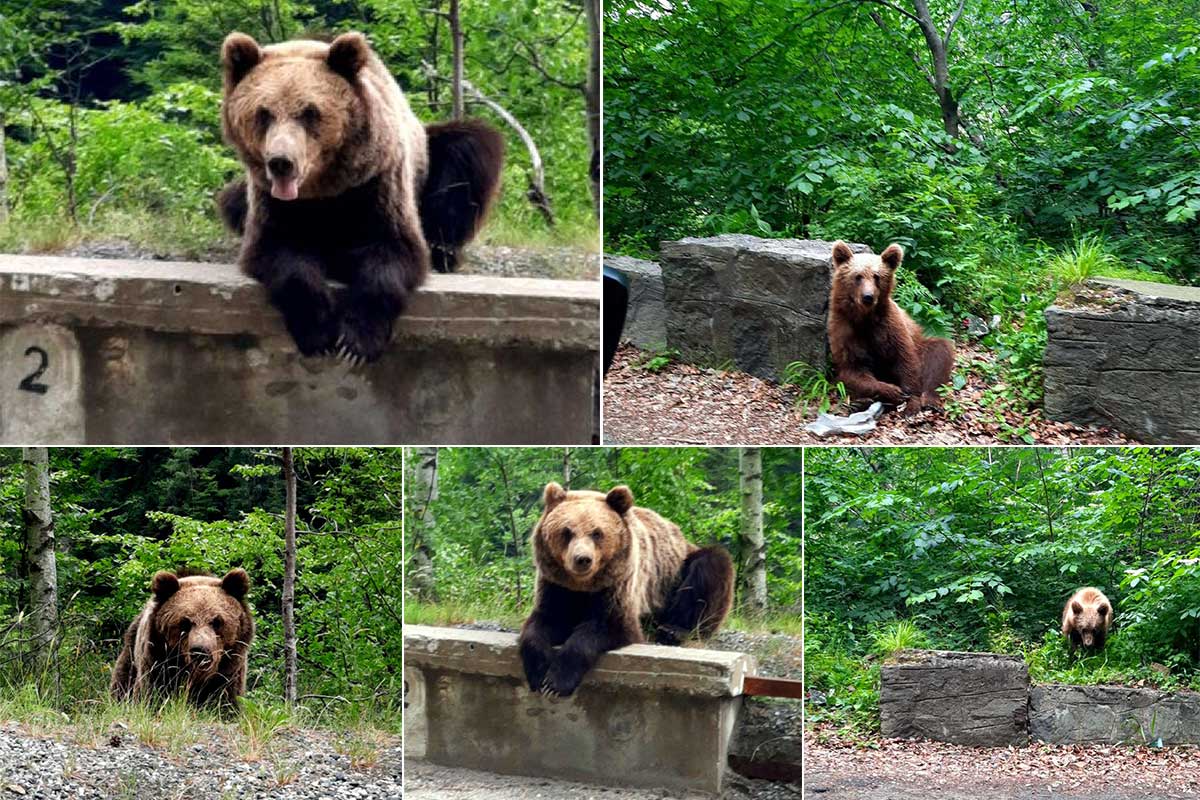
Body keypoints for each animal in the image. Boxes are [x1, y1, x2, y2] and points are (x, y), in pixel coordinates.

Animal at [111, 568, 254, 705]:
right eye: (185, 622)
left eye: (216, 621)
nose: (200, 651)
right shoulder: (157, 663)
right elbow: (152, 696)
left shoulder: (229, 674)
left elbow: (227, 701)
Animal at [218, 31, 504, 362]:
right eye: (263, 113)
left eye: (310, 112)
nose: (281, 162)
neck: (325, 190)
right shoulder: (272, 202)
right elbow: (278, 252)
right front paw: (319, 331)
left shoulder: (377, 182)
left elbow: (392, 250)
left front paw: (356, 341)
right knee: (231, 201)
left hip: (430, 161)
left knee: (466, 153)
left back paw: (442, 250)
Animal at [520, 484, 734, 695]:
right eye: (567, 531)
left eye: (597, 533)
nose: (582, 559)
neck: (583, 586)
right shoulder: (556, 585)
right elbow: (544, 622)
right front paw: (539, 672)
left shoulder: (618, 583)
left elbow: (608, 626)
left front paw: (557, 681)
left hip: (674, 573)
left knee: (711, 565)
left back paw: (673, 630)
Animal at [825, 239, 955, 417]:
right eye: (858, 276)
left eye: (877, 276)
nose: (868, 297)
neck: (865, 318)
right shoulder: (845, 329)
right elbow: (853, 370)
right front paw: (892, 391)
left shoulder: (890, 328)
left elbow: (905, 360)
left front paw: (911, 402)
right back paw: (861, 403)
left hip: (922, 345)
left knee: (938, 355)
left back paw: (930, 400)